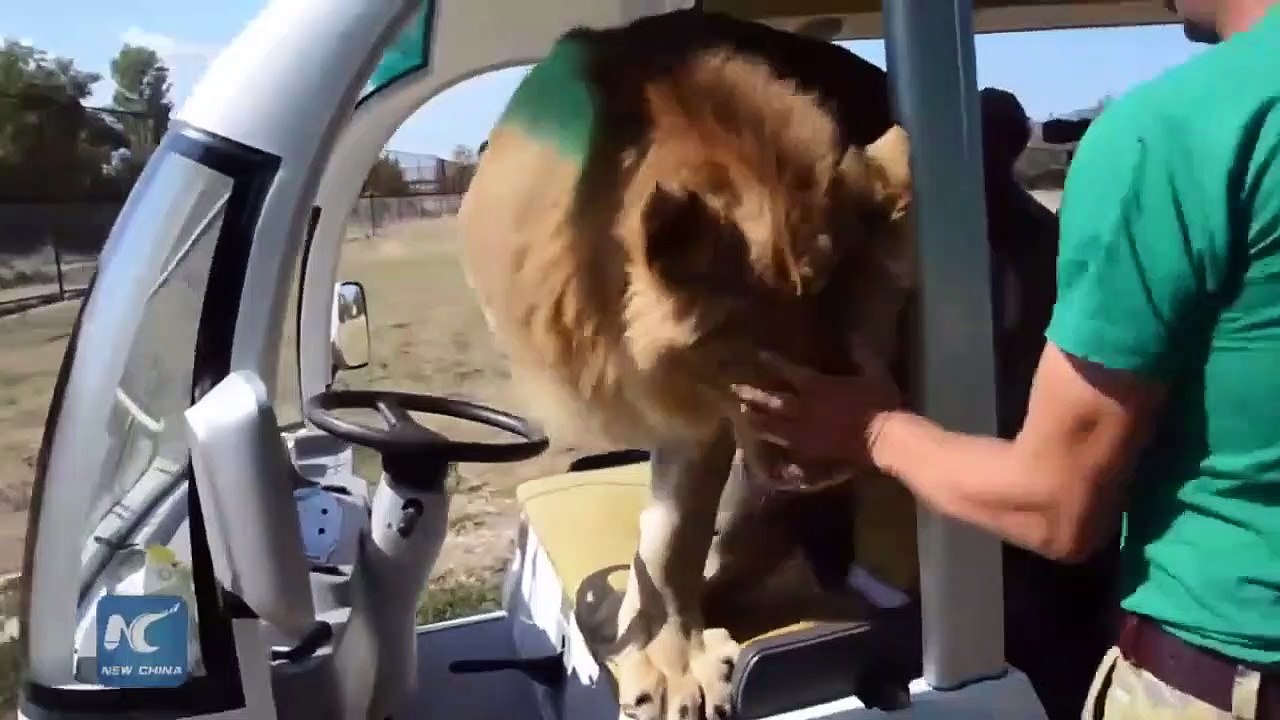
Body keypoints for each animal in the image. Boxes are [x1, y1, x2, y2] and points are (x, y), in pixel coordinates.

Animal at [459, 10, 916, 720]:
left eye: (855, 332)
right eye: (754, 355)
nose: (830, 470)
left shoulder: (704, 422)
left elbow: (676, 538)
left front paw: (675, 665)